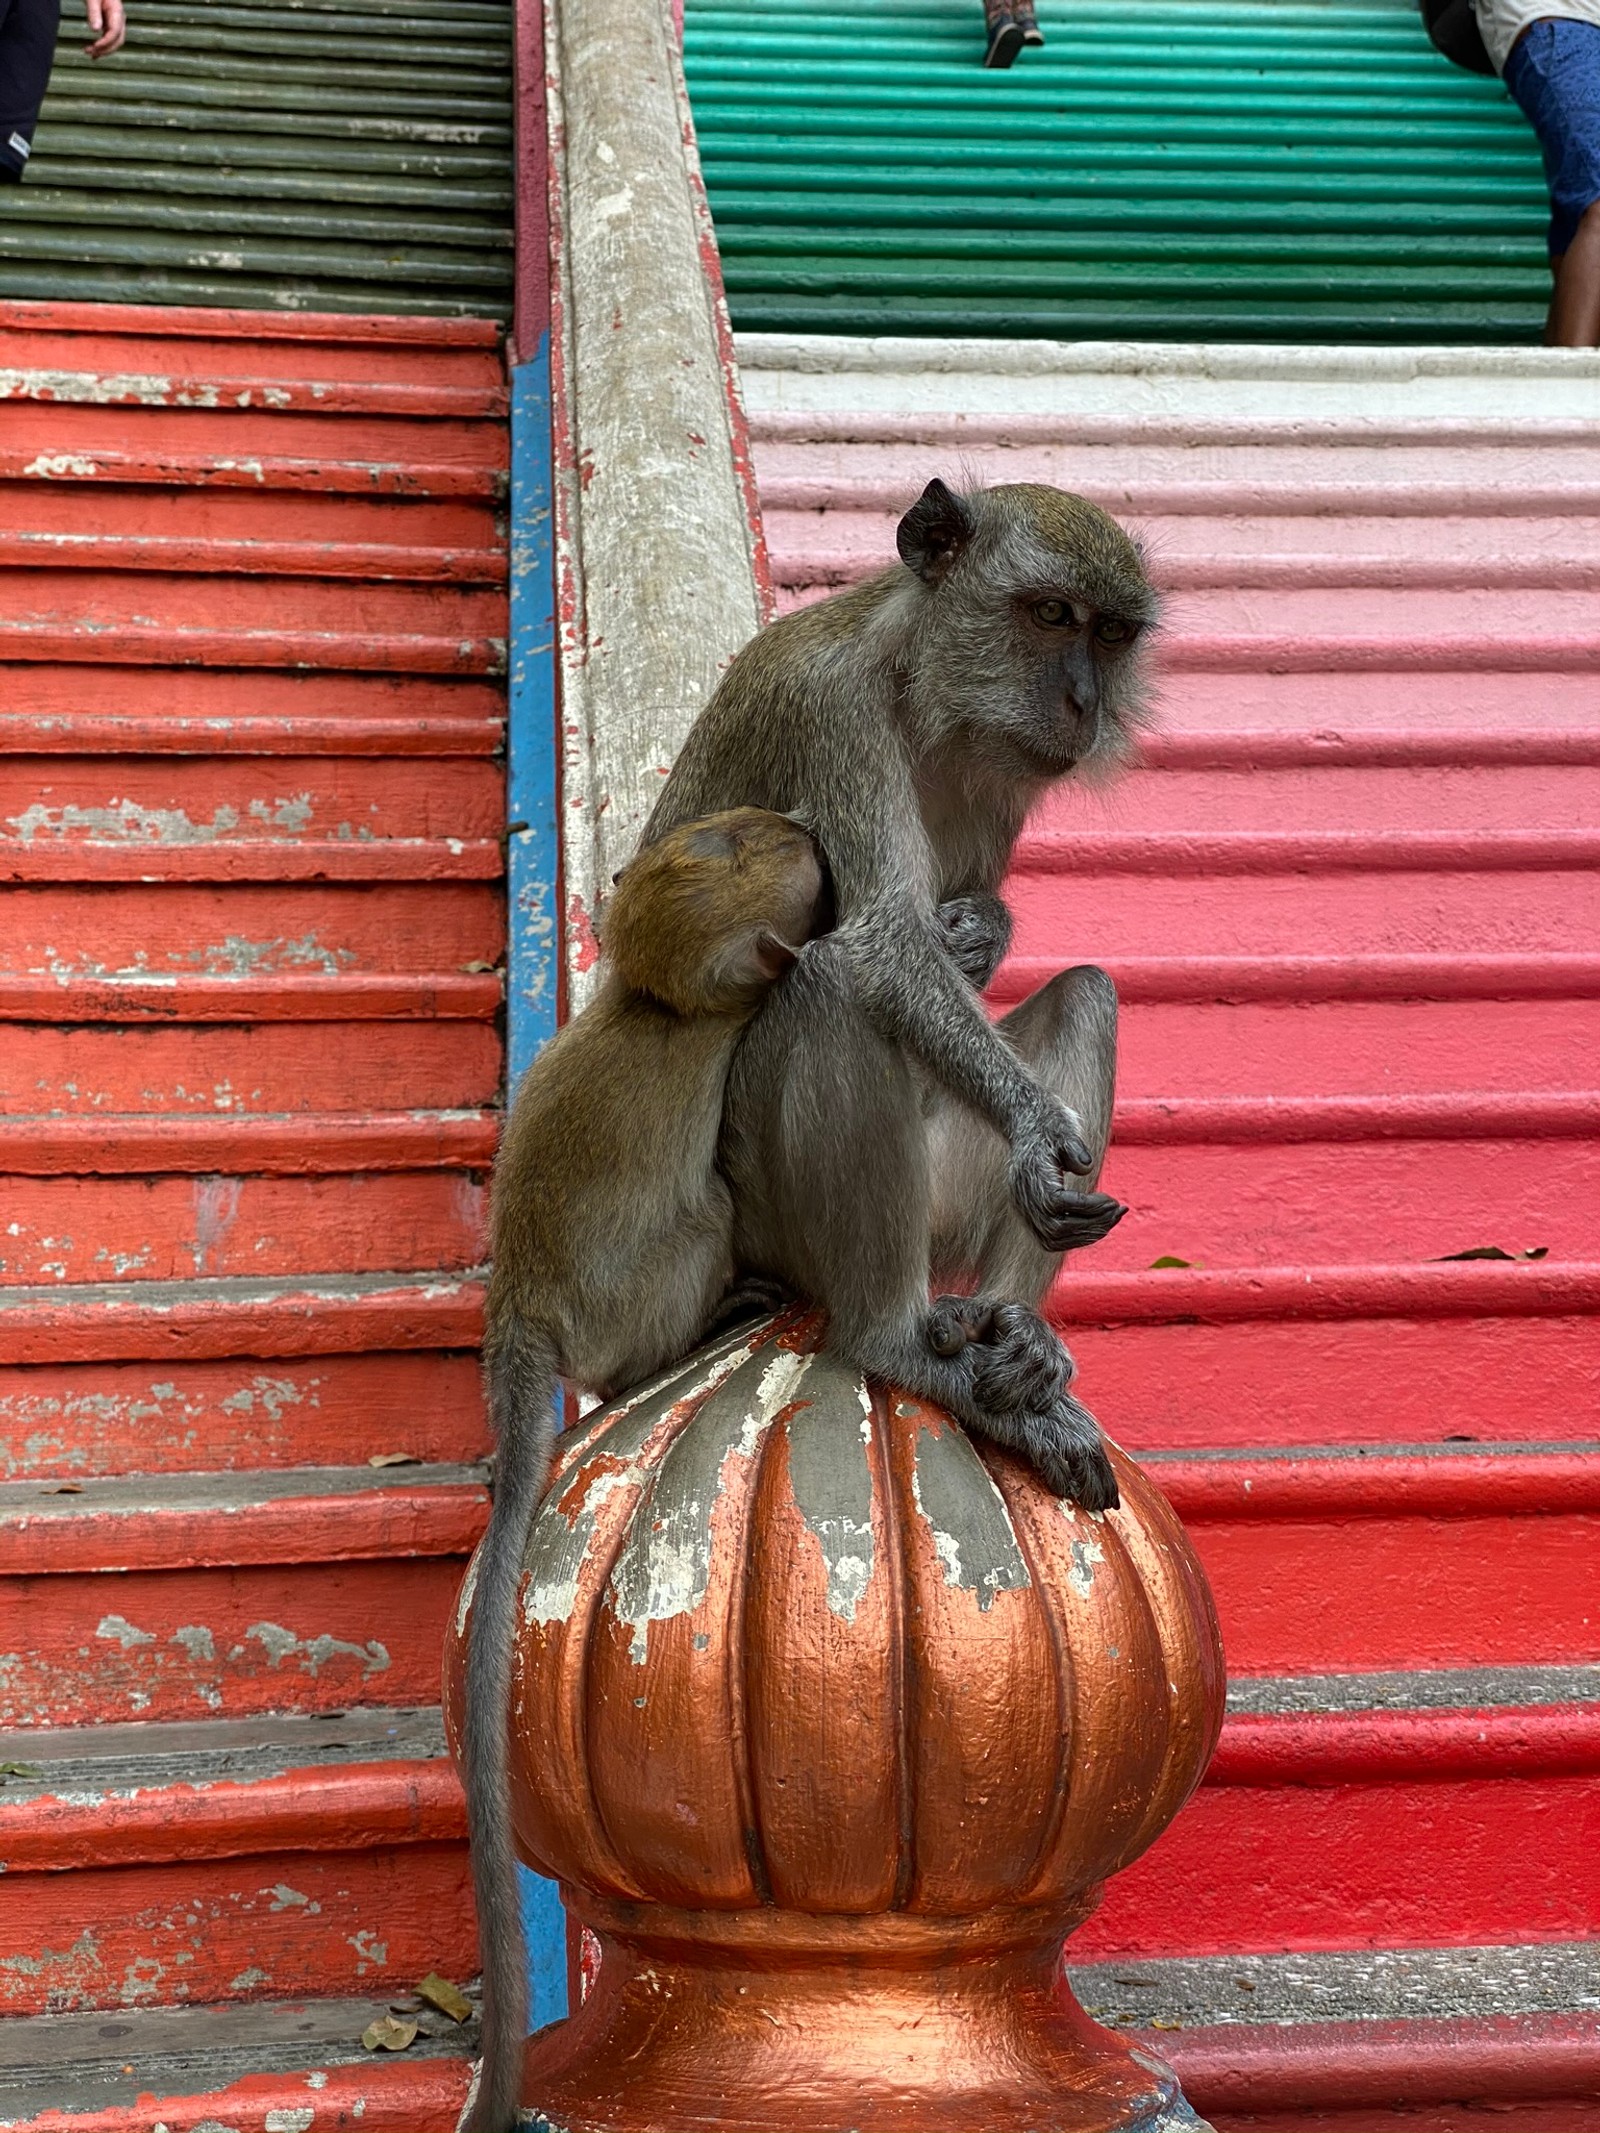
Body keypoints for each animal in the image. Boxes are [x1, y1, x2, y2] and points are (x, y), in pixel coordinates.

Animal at [462, 806, 827, 2133]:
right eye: (766, 848)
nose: (805, 825)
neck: (654, 1004)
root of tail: (519, 1309)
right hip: (648, 1283)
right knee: (700, 1221)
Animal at [644, 484, 1160, 1510]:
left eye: (1114, 633)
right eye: (1052, 614)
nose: (1084, 703)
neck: (920, 689)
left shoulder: (1004, 773)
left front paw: (984, 931)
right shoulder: (830, 710)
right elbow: (884, 947)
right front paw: (1036, 1127)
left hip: (944, 1189)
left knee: (1088, 995)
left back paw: (1015, 1330)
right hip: (771, 1218)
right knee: (833, 989)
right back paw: (892, 1340)